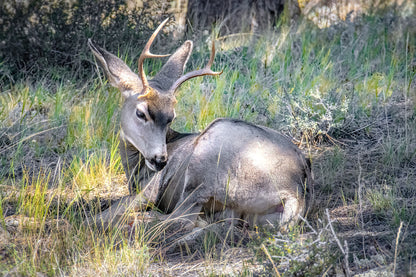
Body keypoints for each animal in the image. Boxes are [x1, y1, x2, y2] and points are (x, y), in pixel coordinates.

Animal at [89, 17, 312, 233]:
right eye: (140, 113)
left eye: (171, 117)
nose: (161, 160)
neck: (136, 170)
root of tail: (294, 192)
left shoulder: (150, 191)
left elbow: (99, 216)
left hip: (205, 160)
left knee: (181, 219)